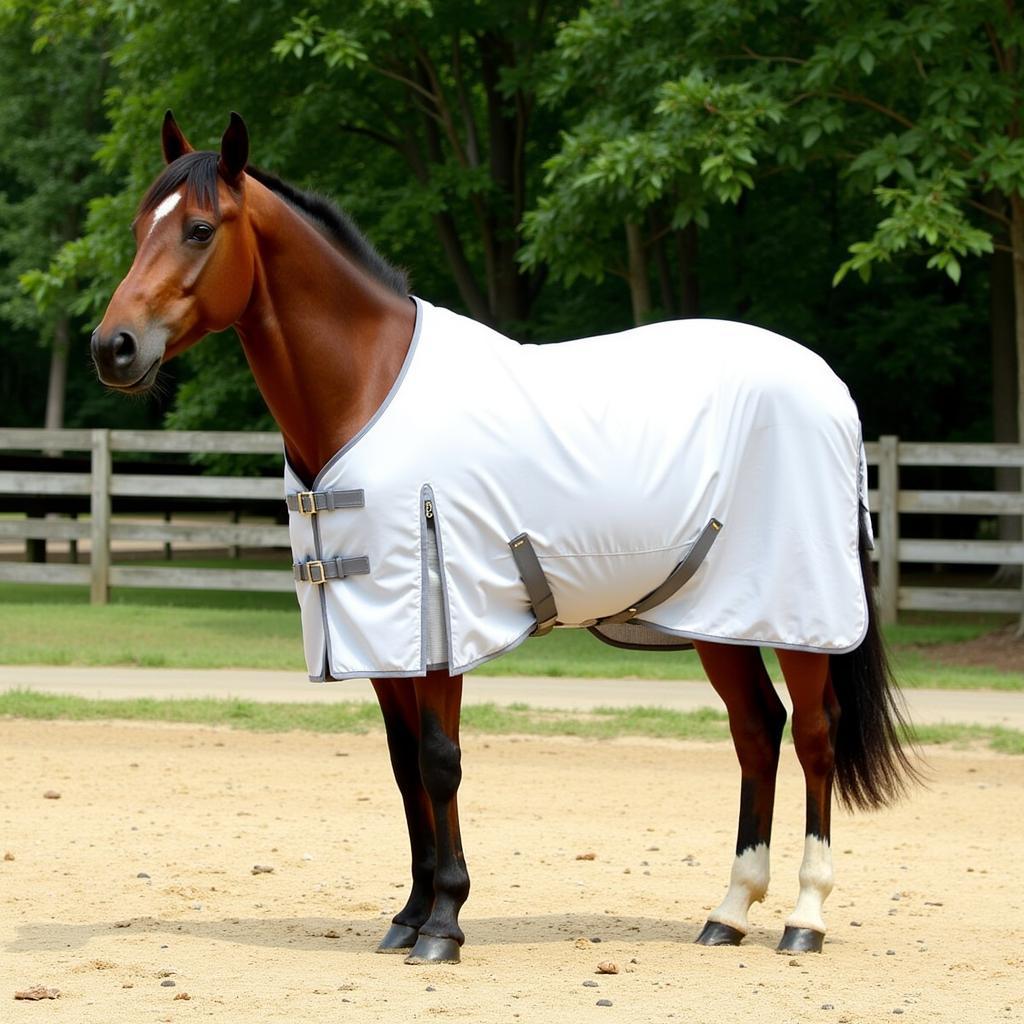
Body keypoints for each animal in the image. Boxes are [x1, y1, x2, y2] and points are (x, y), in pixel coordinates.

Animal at [92, 114, 917, 966]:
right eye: (139, 228)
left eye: (198, 228)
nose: (112, 347)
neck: (366, 385)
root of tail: (830, 388)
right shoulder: (379, 633)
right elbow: (403, 769)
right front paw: (408, 914)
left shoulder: (437, 622)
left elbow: (439, 762)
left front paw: (444, 922)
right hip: (718, 617)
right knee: (756, 731)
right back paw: (729, 910)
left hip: (799, 615)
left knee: (816, 737)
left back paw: (805, 917)